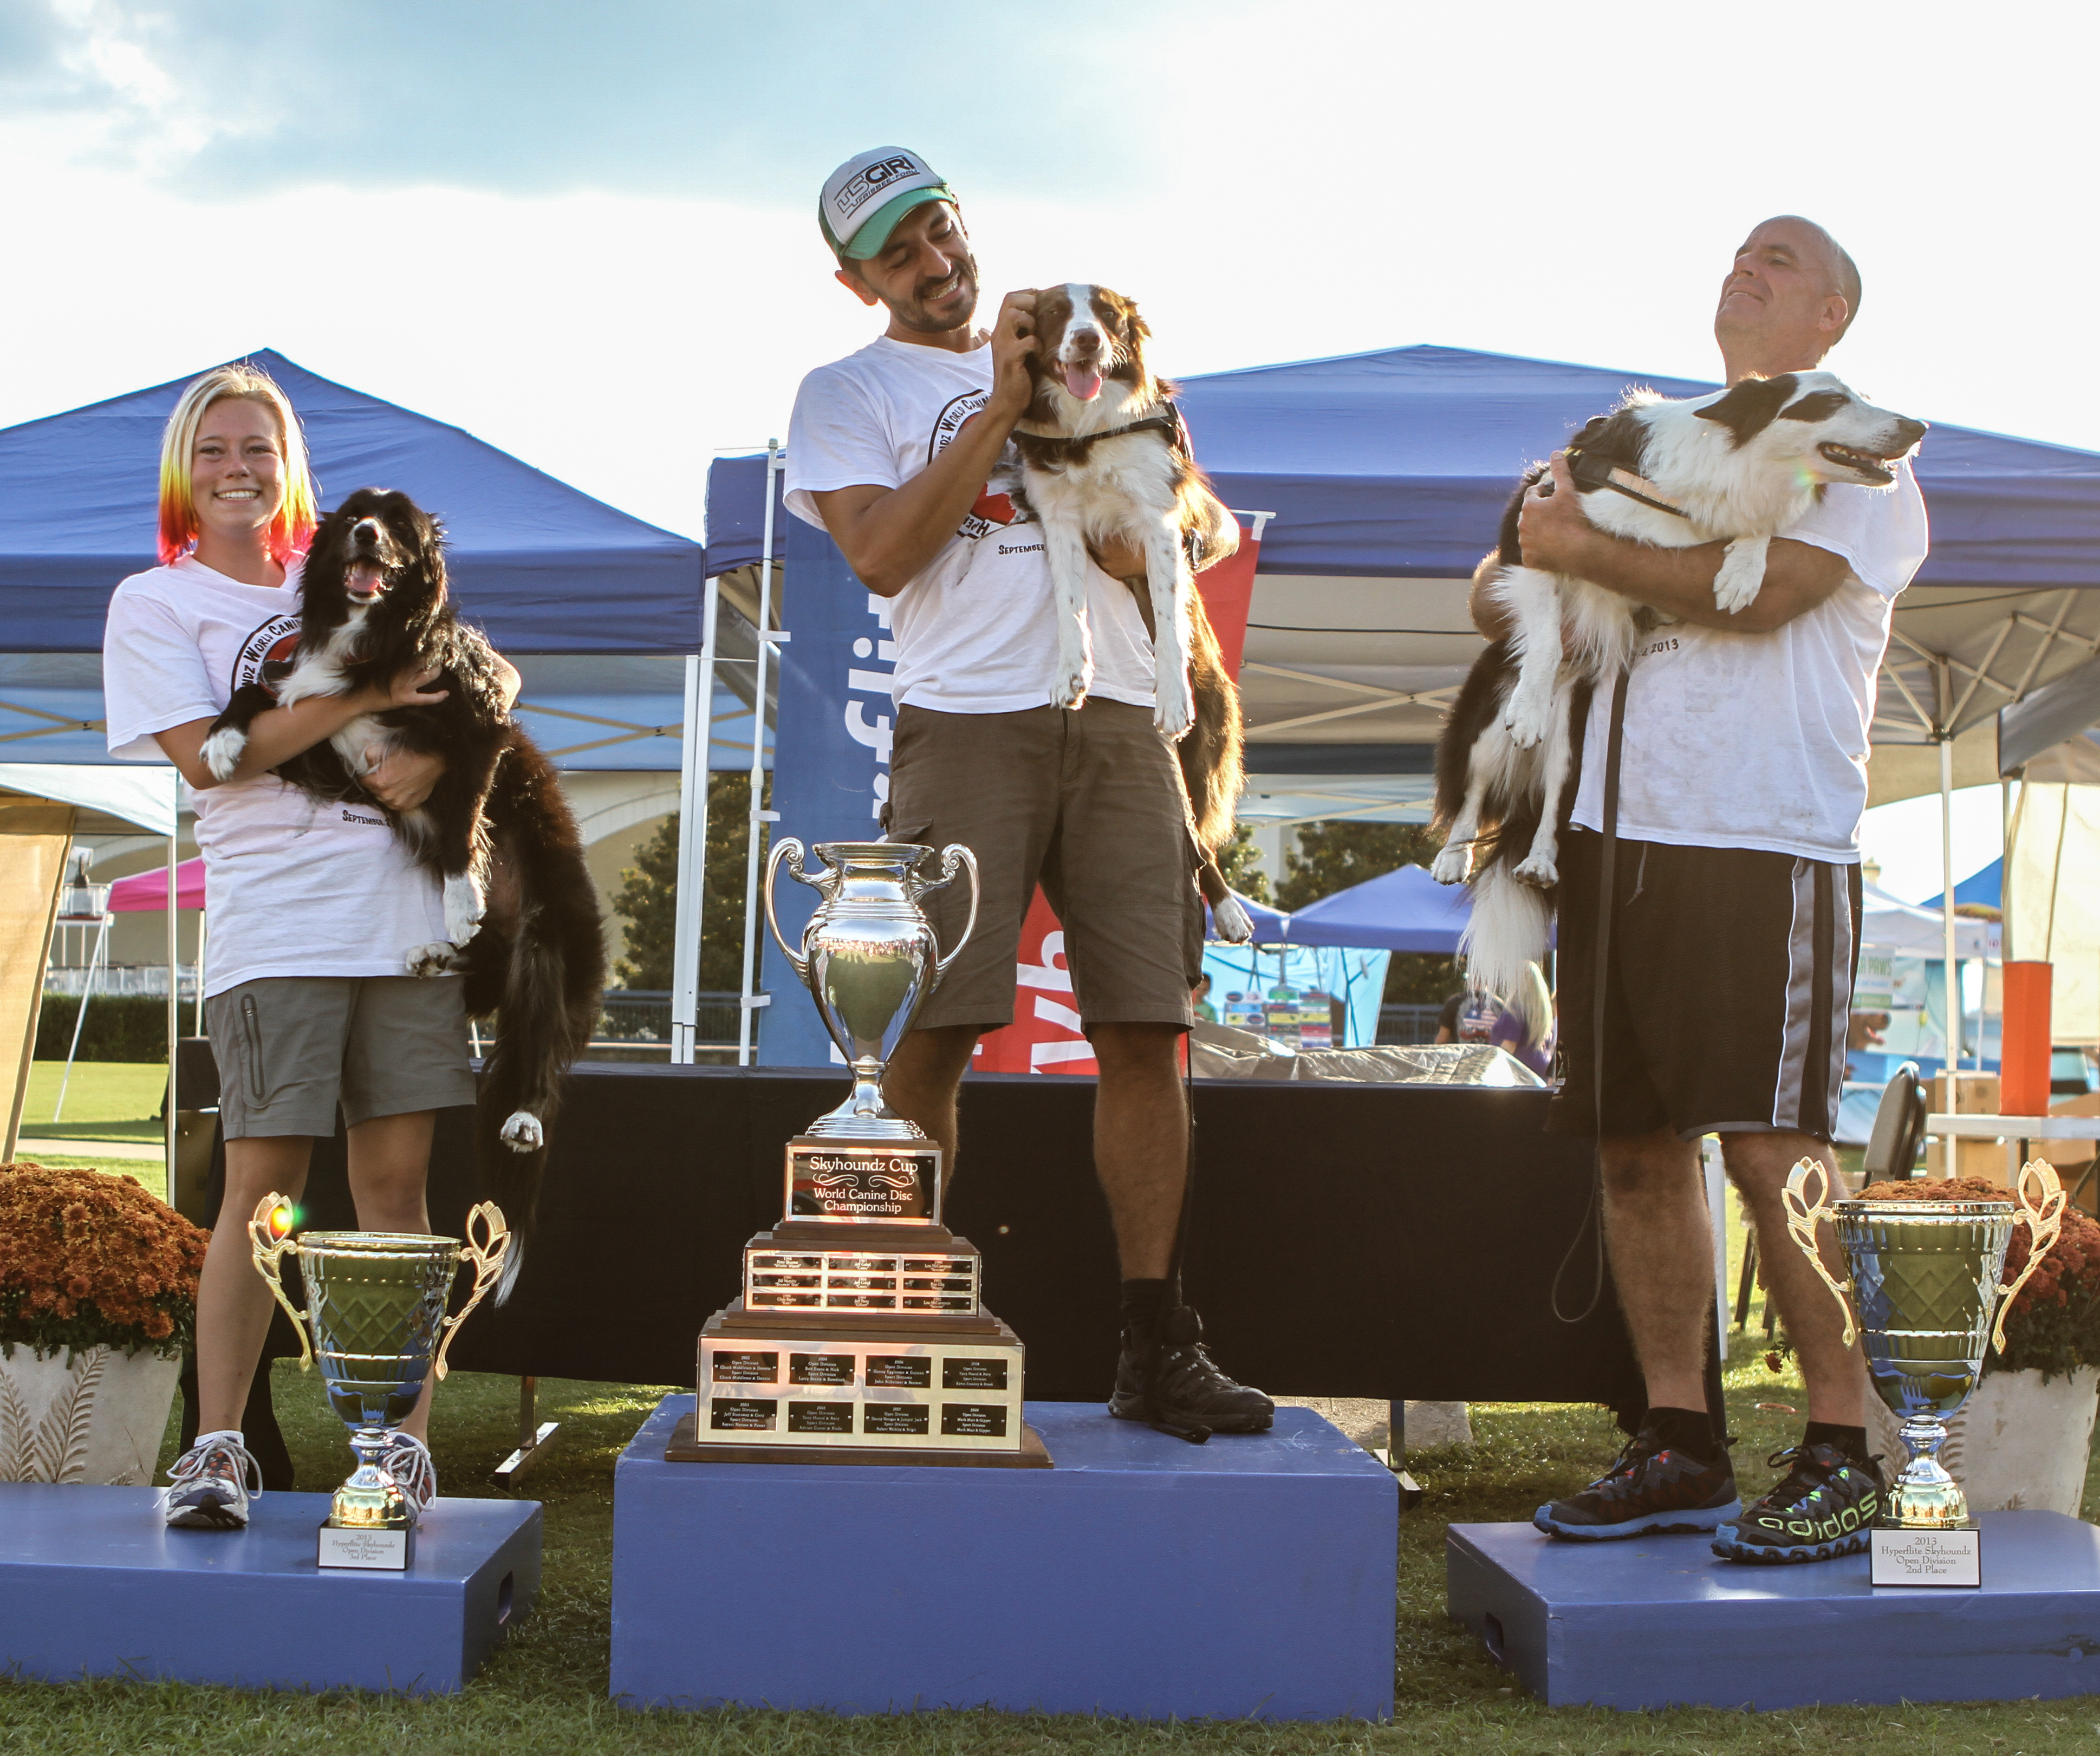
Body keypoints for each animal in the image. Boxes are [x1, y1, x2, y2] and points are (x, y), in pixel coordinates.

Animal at [201, 487, 609, 1285]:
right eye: (353, 514)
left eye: (397, 526)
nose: (365, 531)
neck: (373, 636)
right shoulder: (322, 746)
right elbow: (259, 693)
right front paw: (223, 738)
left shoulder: (478, 728)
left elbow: (461, 828)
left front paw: (461, 894)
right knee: (487, 974)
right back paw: (435, 953)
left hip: (548, 941)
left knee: (542, 1048)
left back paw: (522, 1113)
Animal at [1007, 285, 1251, 945]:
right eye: (1054, 314)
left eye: (1108, 315)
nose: (1088, 339)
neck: (1086, 431)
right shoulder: (1060, 519)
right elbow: (1070, 609)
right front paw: (1070, 675)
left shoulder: (1159, 519)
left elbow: (1167, 622)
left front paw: (1168, 696)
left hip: (1201, 752)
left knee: (1197, 838)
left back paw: (1228, 908)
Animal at [1436, 374, 1923, 999]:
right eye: (1831, 401)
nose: (1918, 427)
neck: (1725, 463)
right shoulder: (1534, 532)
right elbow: (1544, 637)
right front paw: (1530, 705)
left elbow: (1752, 535)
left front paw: (1743, 570)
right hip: (1486, 727)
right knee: (1473, 790)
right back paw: (1455, 854)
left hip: (1577, 744)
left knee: (1550, 803)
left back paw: (1540, 862)